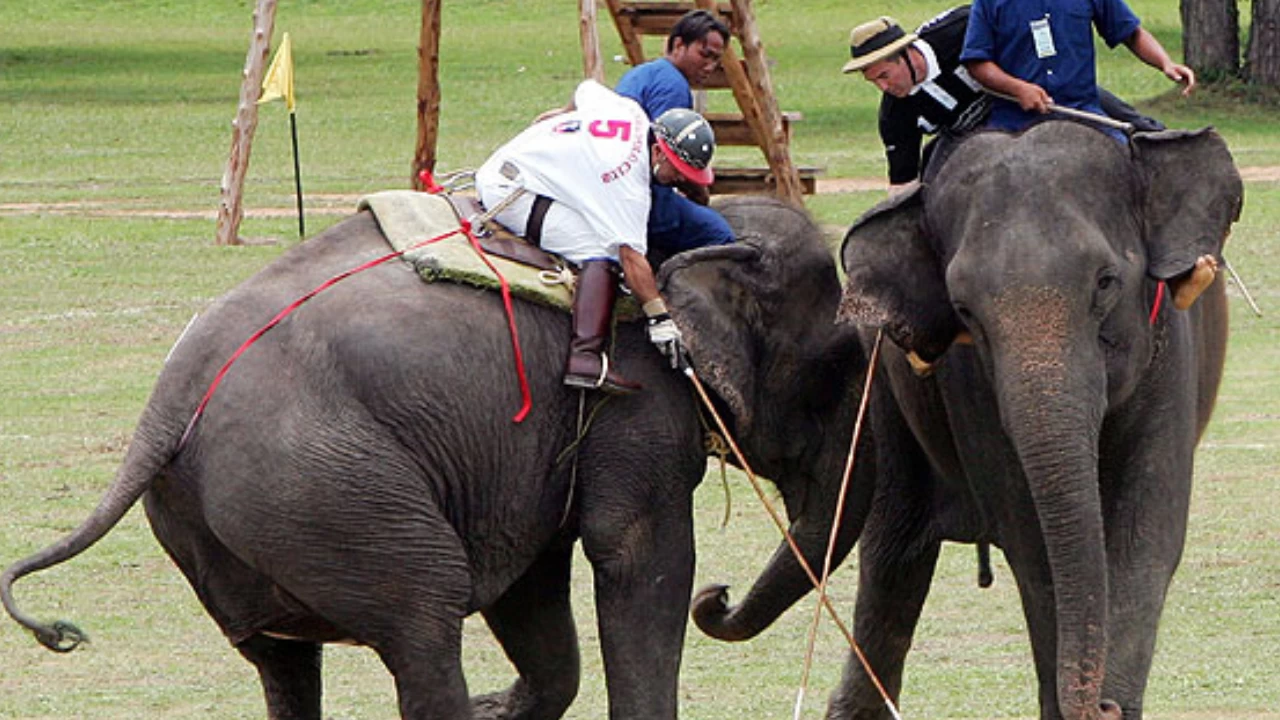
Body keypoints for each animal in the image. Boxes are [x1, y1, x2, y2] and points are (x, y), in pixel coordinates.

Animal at [0, 193, 875, 712]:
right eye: (837, 364)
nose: (719, 598)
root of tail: (161, 410)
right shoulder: (636, 398)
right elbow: (635, 554)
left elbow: (533, 585)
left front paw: (504, 705)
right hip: (328, 492)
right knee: (424, 618)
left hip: (230, 523)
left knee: (283, 663)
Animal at [696, 120, 1244, 712]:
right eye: (963, 309)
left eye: (1105, 281)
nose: (717, 593)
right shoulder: (970, 390)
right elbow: (1036, 554)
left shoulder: (1171, 354)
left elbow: (1146, 538)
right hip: (885, 405)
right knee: (891, 567)